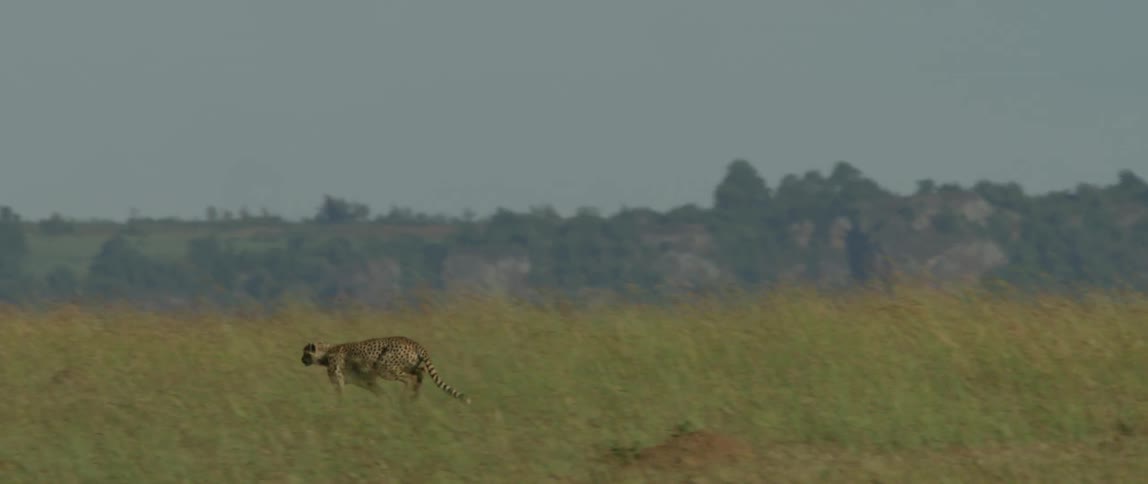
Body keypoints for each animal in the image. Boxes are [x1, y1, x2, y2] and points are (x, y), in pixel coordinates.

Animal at [301, 336, 471, 404]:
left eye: (305, 353)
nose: (301, 360)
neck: (326, 352)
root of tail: (411, 341)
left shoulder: (340, 380)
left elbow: (339, 394)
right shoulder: (367, 381)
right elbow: (379, 392)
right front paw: (386, 401)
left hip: (385, 367)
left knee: (410, 378)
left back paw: (406, 398)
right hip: (412, 365)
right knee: (420, 374)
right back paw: (413, 397)